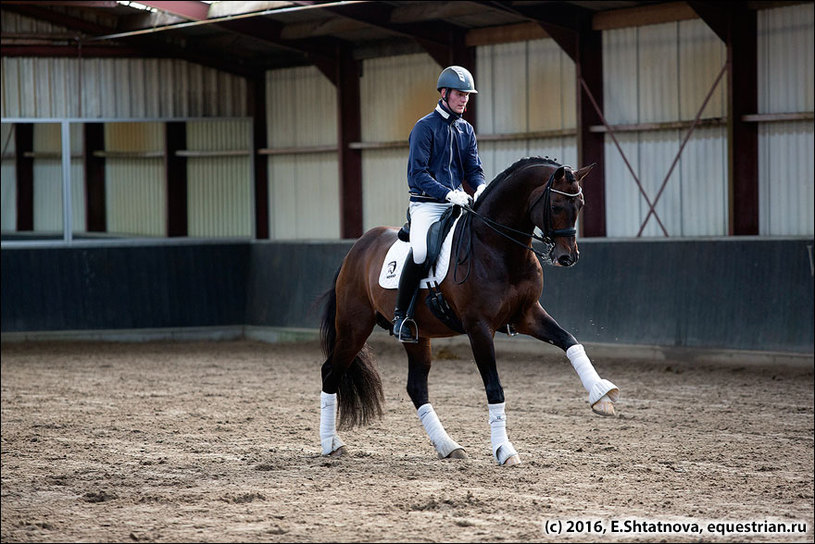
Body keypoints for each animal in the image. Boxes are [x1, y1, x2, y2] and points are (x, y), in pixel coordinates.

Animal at [318, 156, 620, 464]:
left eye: (580, 204)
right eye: (557, 206)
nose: (567, 257)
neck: (498, 248)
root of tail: (358, 247)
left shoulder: (527, 314)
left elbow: (570, 341)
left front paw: (602, 396)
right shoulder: (479, 327)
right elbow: (494, 387)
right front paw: (504, 450)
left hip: (418, 336)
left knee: (416, 387)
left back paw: (448, 445)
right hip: (355, 327)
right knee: (330, 371)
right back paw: (331, 443)